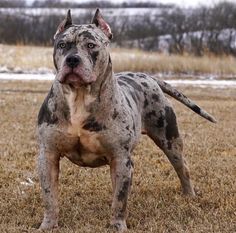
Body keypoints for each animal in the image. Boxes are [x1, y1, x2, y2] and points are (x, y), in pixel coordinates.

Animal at [37, 8, 217, 231]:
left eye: (91, 45)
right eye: (62, 45)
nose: (72, 60)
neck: (79, 98)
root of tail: (148, 76)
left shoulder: (121, 158)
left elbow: (120, 199)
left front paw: (118, 225)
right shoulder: (48, 156)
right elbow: (50, 196)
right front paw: (48, 225)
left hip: (170, 141)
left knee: (182, 168)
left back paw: (189, 195)